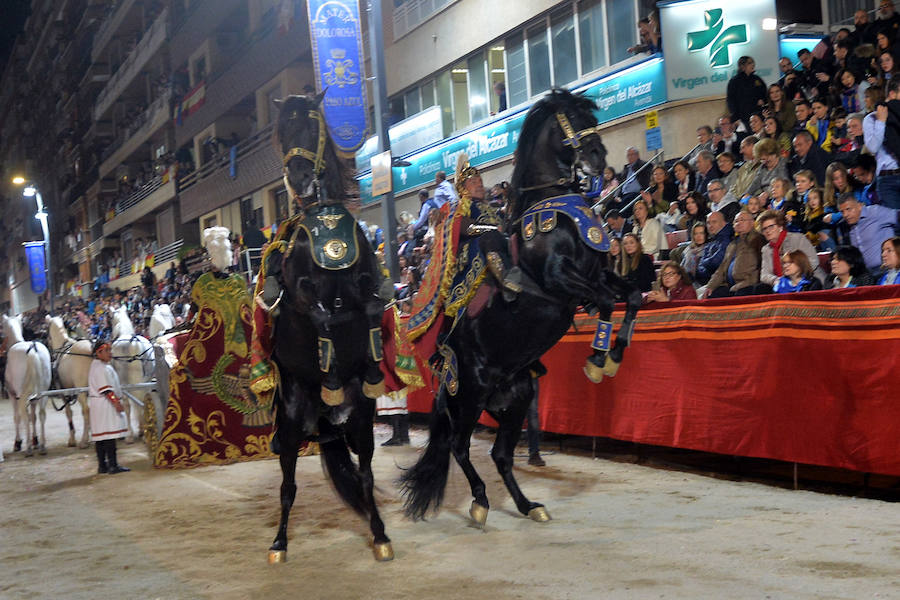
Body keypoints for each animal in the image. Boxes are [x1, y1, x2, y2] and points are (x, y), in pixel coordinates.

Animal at [2, 314, 51, 454]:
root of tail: (32, 349)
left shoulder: (12, 394)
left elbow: (17, 417)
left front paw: (18, 442)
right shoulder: (33, 397)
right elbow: (33, 417)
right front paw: (35, 440)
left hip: (22, 394)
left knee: (24, 415)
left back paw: (28, 447)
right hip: (43, 392)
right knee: (41, 414)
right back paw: (42, 446)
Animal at [45, 316, 93, 448]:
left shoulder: (63, 393)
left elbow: (68, 412)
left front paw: (72, 440)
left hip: (82, 391)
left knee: (86, 410)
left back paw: (83, 441)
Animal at [268, 94, 394, 564]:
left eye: (310, 125)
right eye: (282, 131)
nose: (300, 179)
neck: (325, 224)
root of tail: (325, 417)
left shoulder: (366, 282)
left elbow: (372, 305)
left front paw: (370, 367)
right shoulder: (300, 294)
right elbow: (319, 314)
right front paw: (331, 369)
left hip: (361, 423)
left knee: (365, 475)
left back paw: (380, 536)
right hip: (289, 430)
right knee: (287, 487)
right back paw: (279, 544)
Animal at [400, 88, 640, 524]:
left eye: (590, 116)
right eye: (571, 118)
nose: (598, 157)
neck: (556, 207)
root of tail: (446, 367)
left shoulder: (597, 273)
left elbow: (630, 296)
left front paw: (614, 356)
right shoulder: (558, 280)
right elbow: (606, 301)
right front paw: (598, 361)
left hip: (515, 399)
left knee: (500, 455)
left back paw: (529, 506)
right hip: (469, 398)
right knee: (460, 446)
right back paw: (480, 502)